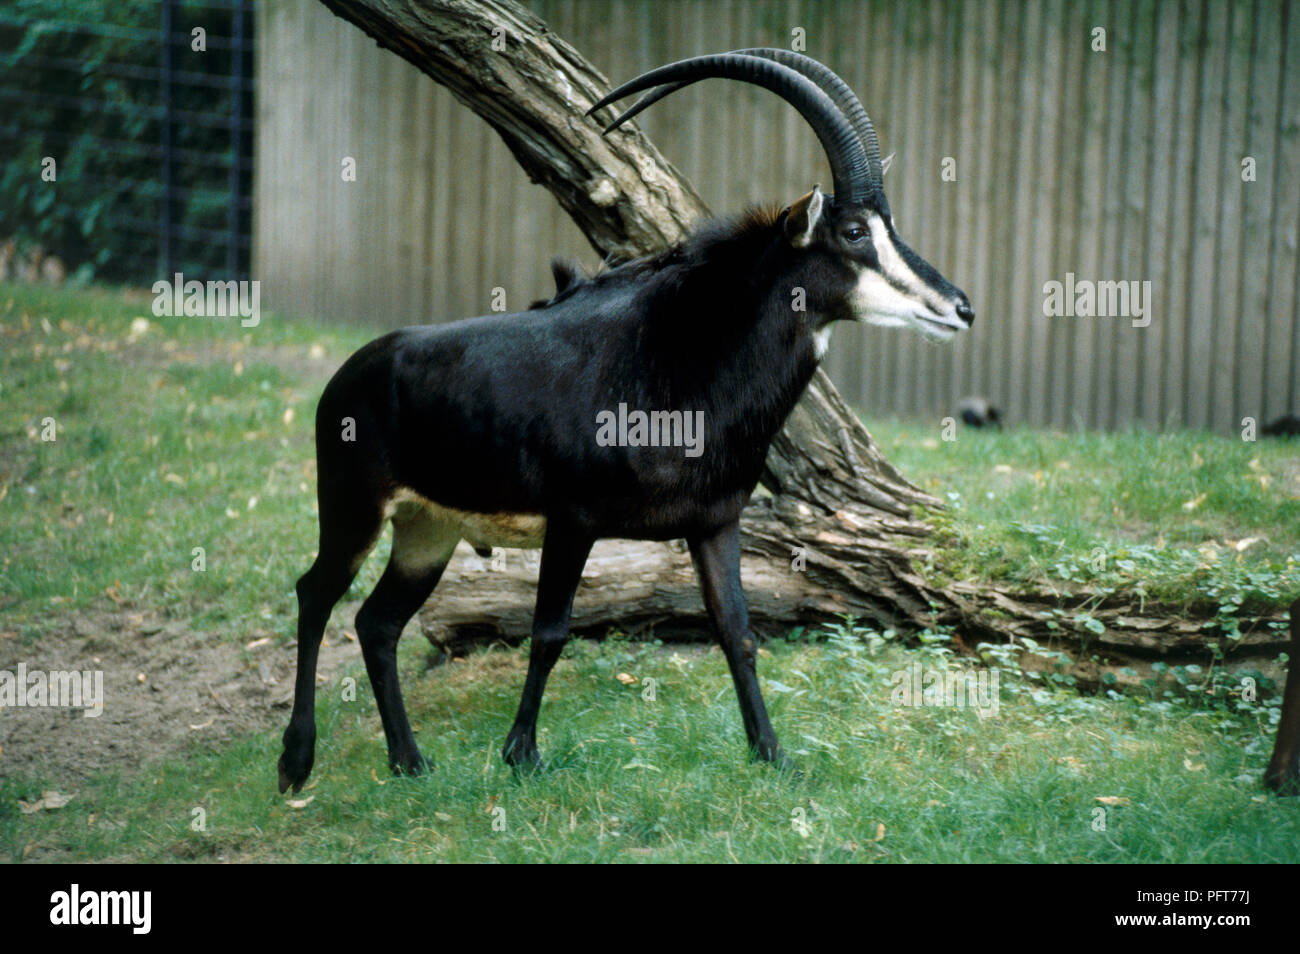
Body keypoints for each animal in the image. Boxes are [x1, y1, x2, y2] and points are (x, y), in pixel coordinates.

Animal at [282, 48, 977, 795]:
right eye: (853, 232)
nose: (960, 307)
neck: (682, 355)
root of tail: (349, 374)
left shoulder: (714, 524)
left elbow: (738, 632)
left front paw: (773, 754)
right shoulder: (574, 520)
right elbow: (550, 632)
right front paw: (521, 754)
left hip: (427, 531)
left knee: (377, 623)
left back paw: (409, 762)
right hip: (354, 509)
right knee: (315, 594)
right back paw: (295, 764)